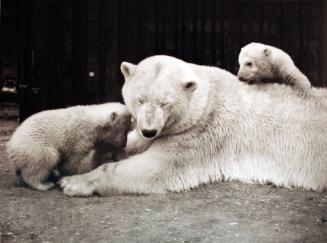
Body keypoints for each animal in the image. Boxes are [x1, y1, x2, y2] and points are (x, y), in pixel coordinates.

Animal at [59, 55, 327, 197]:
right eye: (140, 99)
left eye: (165, 102)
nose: (149, 130)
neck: (206, 101)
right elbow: (136, 144)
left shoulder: (200, 135)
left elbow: (159, 167)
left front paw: (72, 182)